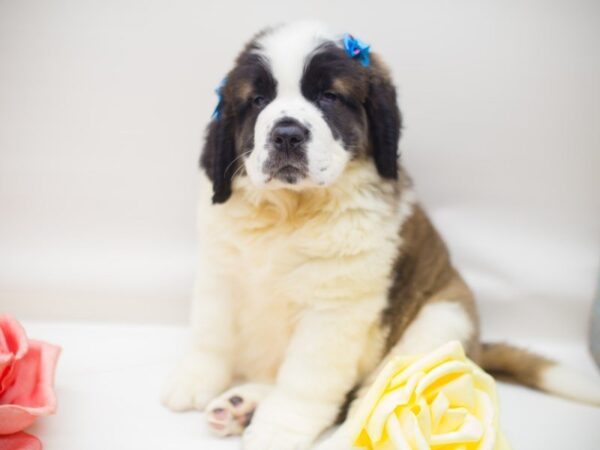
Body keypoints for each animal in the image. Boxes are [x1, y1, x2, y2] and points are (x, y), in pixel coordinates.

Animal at [163, 20, 600, 450]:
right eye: (256, 101)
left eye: (329, 97)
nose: (287, 134)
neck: (291, 211)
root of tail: (476, 347)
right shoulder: (220, 271)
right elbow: (211, 333)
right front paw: (195, 381)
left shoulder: (334, 309)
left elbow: (306, 378)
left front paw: (278, 429)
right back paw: (241, 403)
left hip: (443, 318)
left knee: (369, 393)